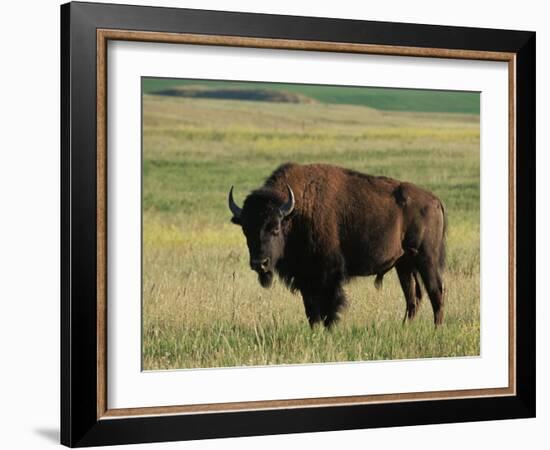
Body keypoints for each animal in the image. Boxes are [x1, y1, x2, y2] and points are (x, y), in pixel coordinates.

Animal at [229, 162, 448, 326]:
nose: (260, 263)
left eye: (275, 228)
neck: (297, 212)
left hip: (426, 259)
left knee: (436, 292)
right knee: (413, 298)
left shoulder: (328, 275)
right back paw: (405, 327)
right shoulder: (306, 278)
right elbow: (311, 311)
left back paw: (436, 328)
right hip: (404, 264)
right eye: (245, 230)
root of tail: (435, 200)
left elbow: (329, 307)